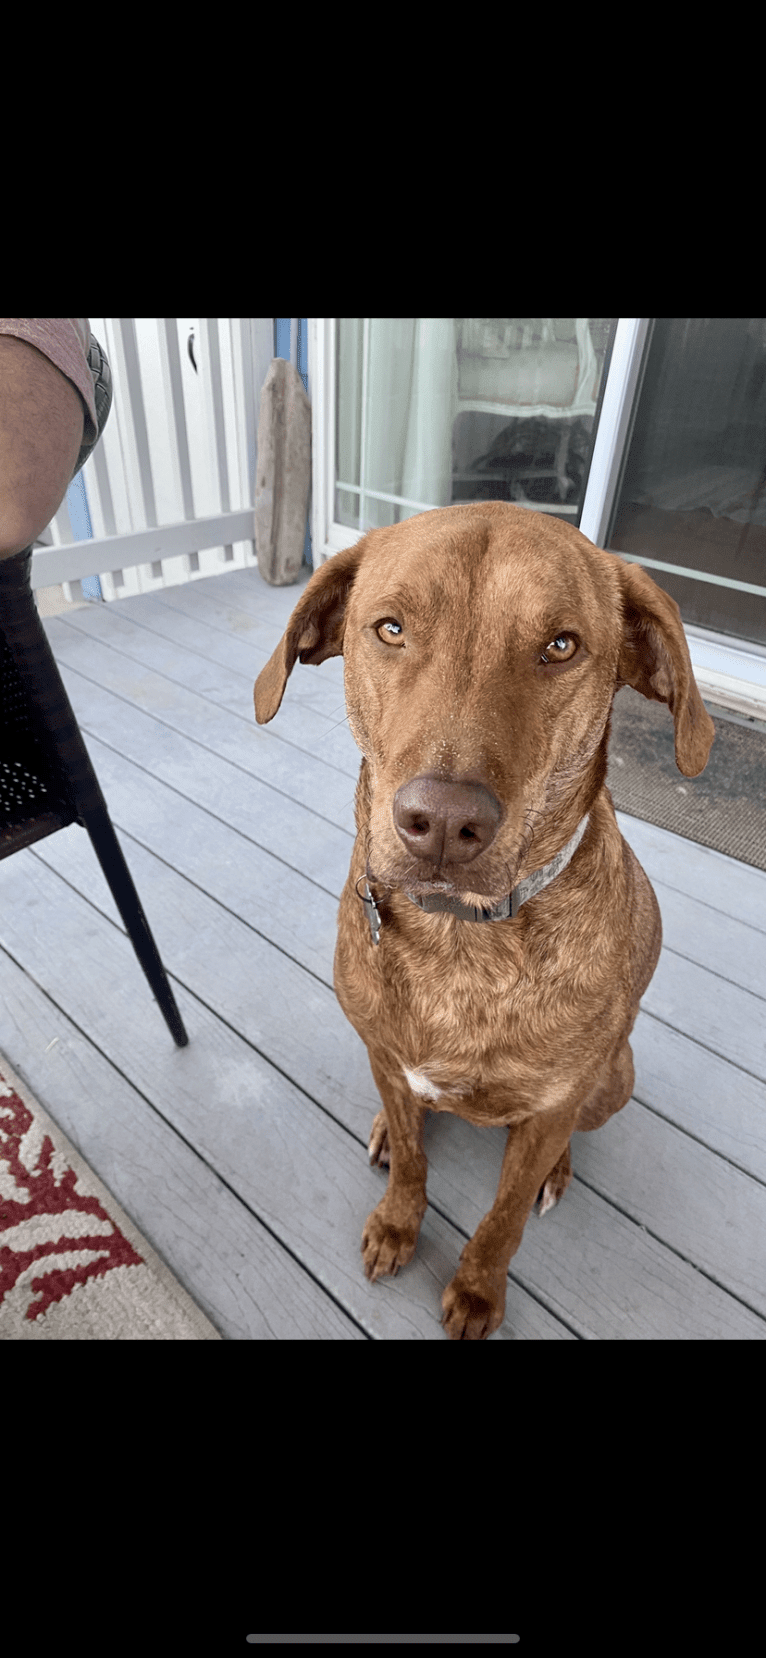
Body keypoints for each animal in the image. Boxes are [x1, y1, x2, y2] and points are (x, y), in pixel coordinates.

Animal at [253, 500, 716, 1333]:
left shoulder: (553, 1105)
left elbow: (499, 1220)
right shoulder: (384, 1053)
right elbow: (412, 1160)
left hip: (616, 1076)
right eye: (391, 628)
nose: (441, 823)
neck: (461, 943)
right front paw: (398, 1221)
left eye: (561, 646)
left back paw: (556, 1172)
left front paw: (477, 1289)